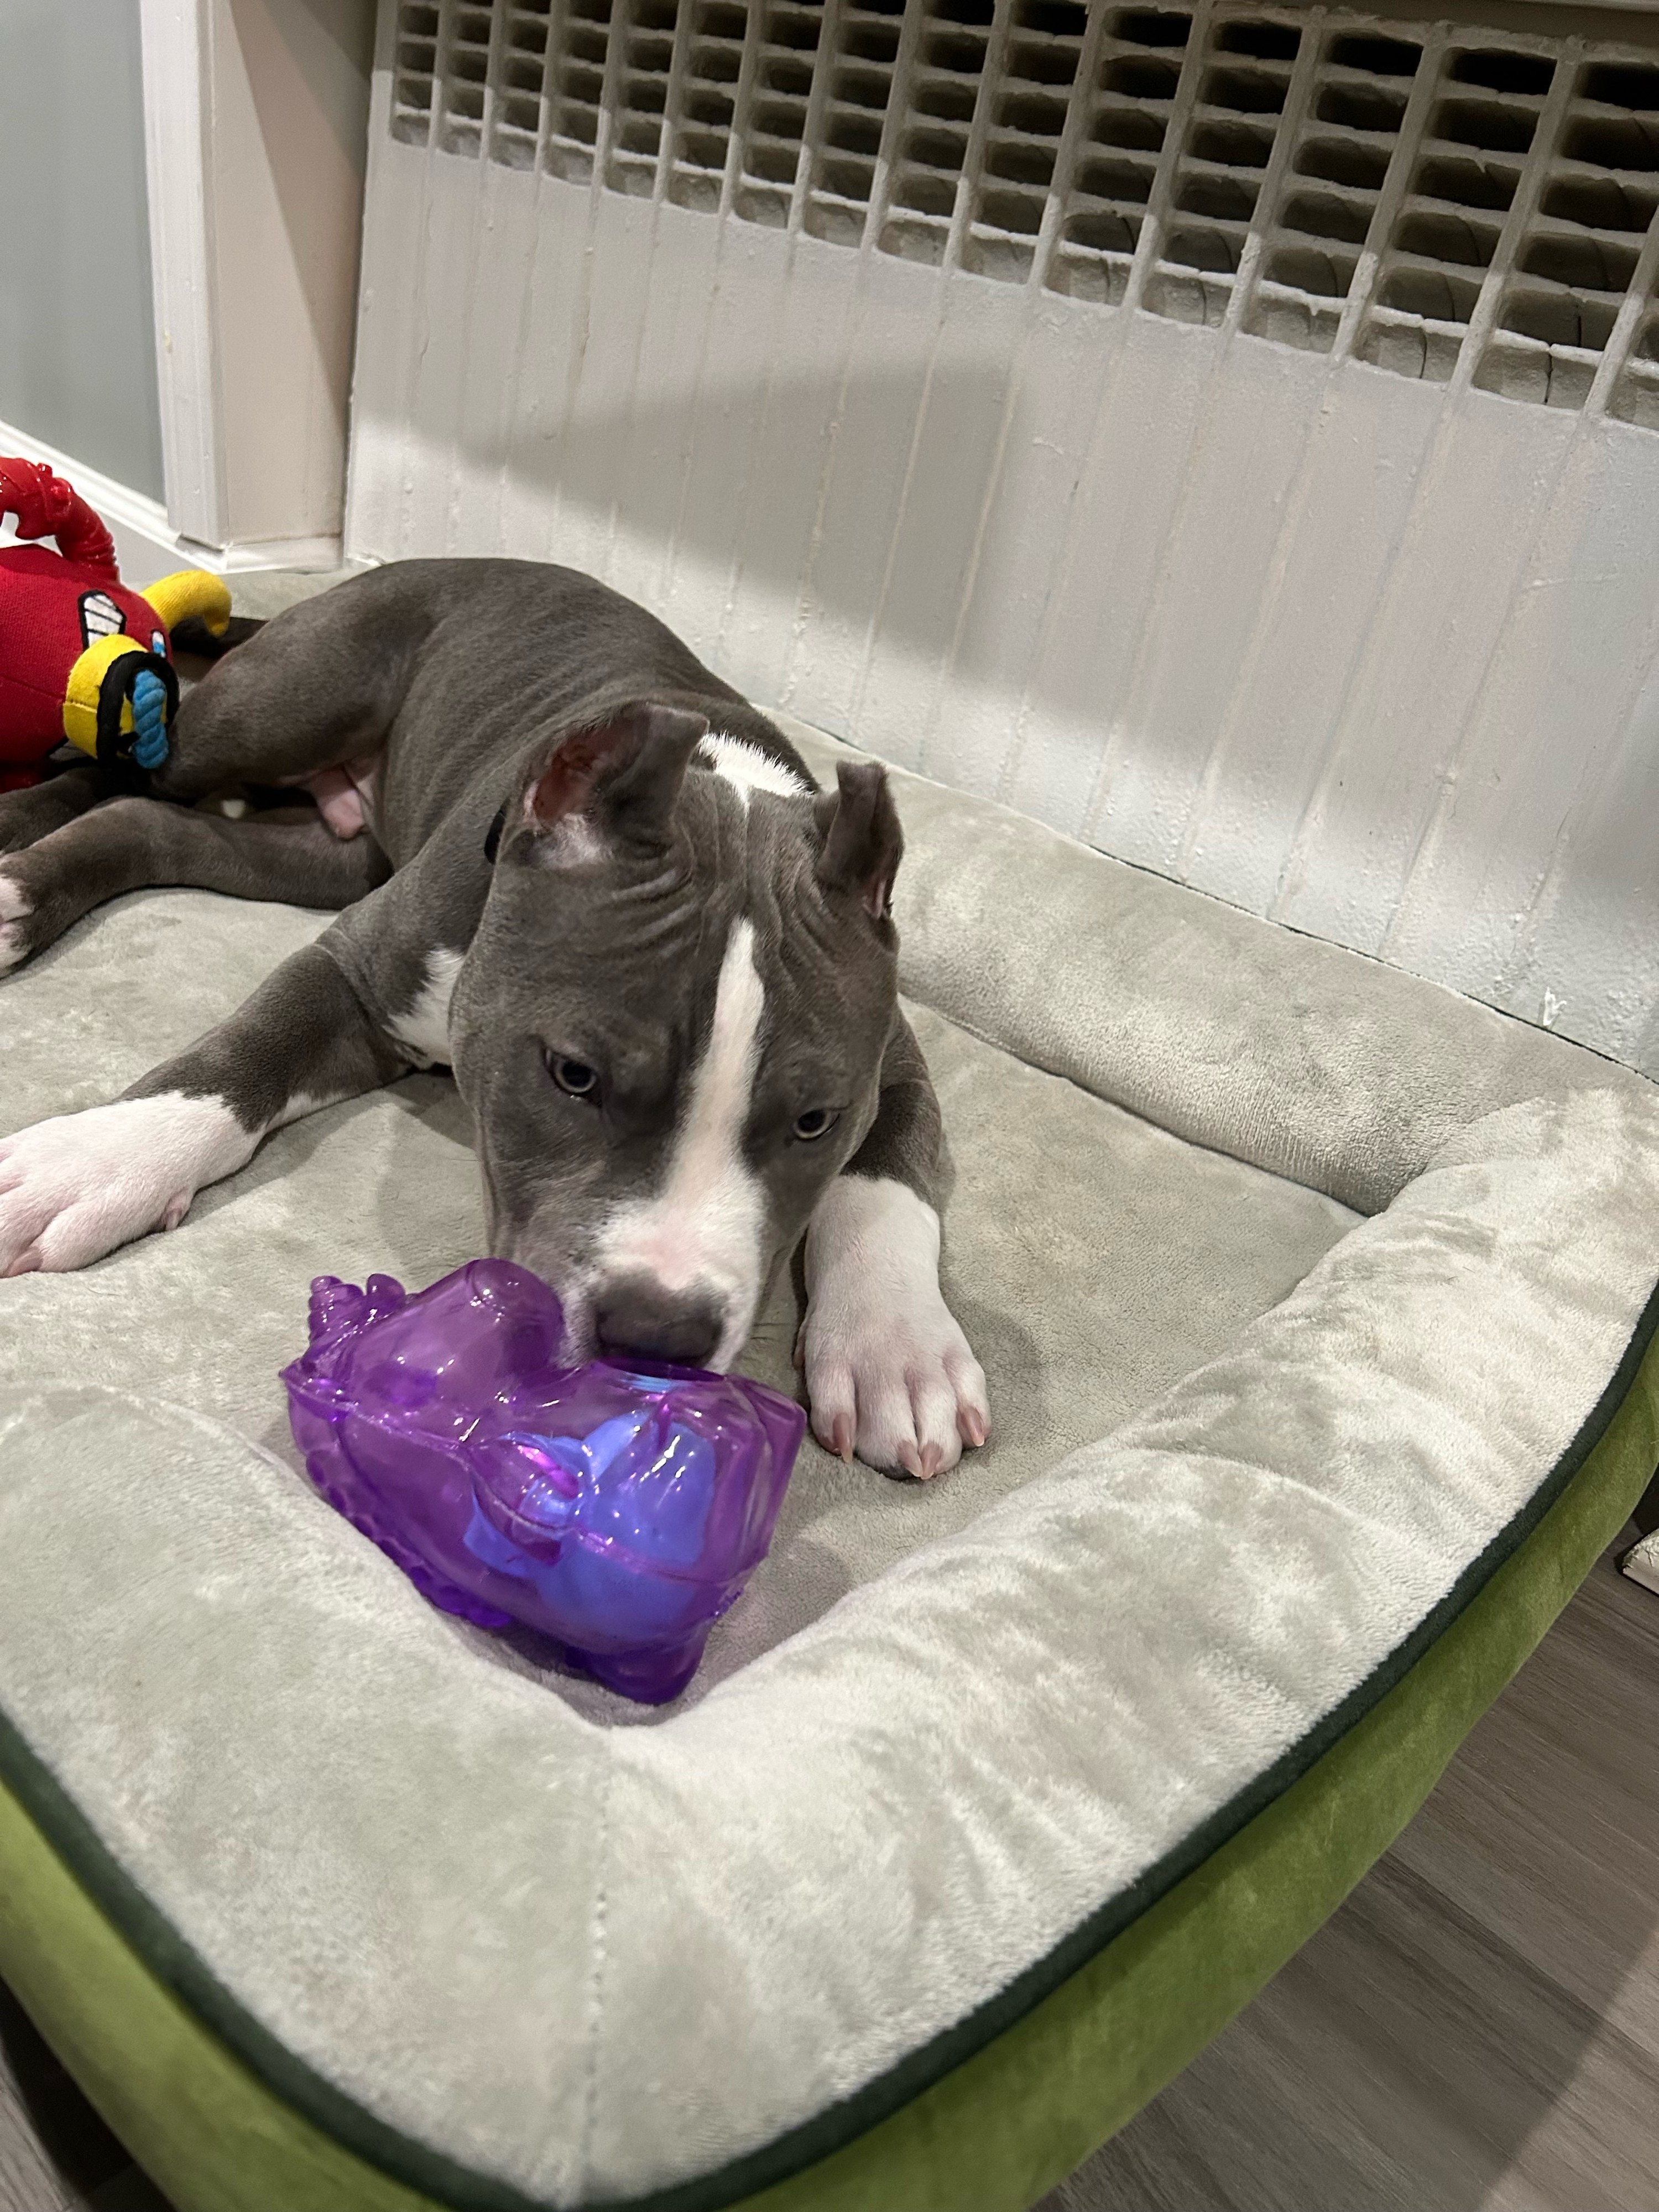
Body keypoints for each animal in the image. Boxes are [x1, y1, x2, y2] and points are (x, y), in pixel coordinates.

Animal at [0, 562, 987, 1478]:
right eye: (573, 1074)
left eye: (816, 1121)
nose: (658, 1334)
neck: (724, 792)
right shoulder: (356, 970)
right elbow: (245, 1053)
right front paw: (97, 1159)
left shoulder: (892, 1058)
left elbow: (890, 1175)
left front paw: (895, 1348)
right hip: (277, 703)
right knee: (123, 767)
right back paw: (17, 854)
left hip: (325, 856)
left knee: (159, 822)